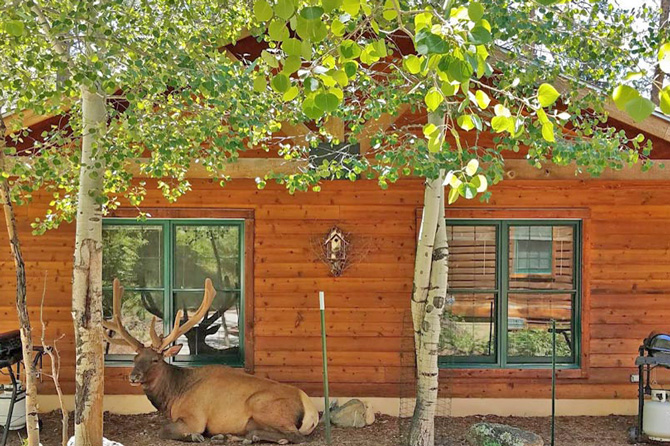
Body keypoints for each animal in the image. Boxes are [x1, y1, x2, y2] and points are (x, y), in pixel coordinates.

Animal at [103, 278, 318, 442]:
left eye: (155, 359)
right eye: (135, 358)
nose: (133, 376)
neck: (173, 396)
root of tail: (312, 412)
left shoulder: (194, 417)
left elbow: (164, 431)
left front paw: (194, 436)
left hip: (263, 405)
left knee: (296, 436)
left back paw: (247, 436)